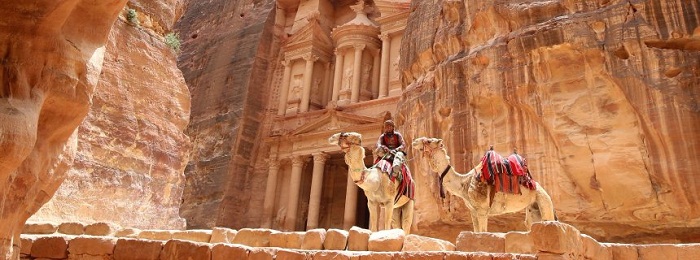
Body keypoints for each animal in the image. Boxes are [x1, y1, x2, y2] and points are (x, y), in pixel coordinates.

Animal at [412, 137, 556, 233]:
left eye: (429, 140)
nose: (414, 141)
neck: (463, 183)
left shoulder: (482, 210)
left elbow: (483, 232)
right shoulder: (473, 212)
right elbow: (477, 232)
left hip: (544, 202)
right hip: (533, 208)